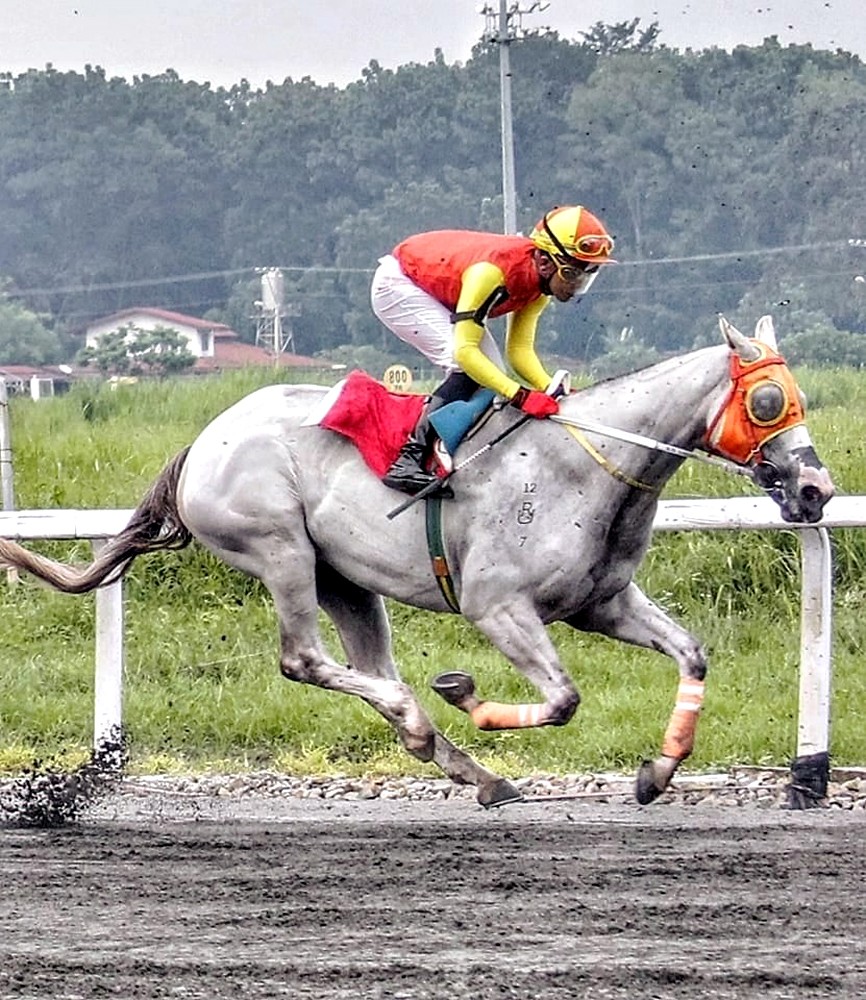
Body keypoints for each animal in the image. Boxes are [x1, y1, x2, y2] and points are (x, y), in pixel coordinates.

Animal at [1, 316, 836, 808]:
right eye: (768, 401)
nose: (817, 489)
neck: (581, 465)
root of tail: (202, 441)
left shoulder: (603, 602)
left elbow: (692, 654)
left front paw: (658, 773)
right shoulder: (498, 607)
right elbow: (563, 699)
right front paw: (466, 690)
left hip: (344, 578)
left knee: (369, 669)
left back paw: (471, 769)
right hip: (281, 549)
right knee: (307, 660)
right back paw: (429, 721)